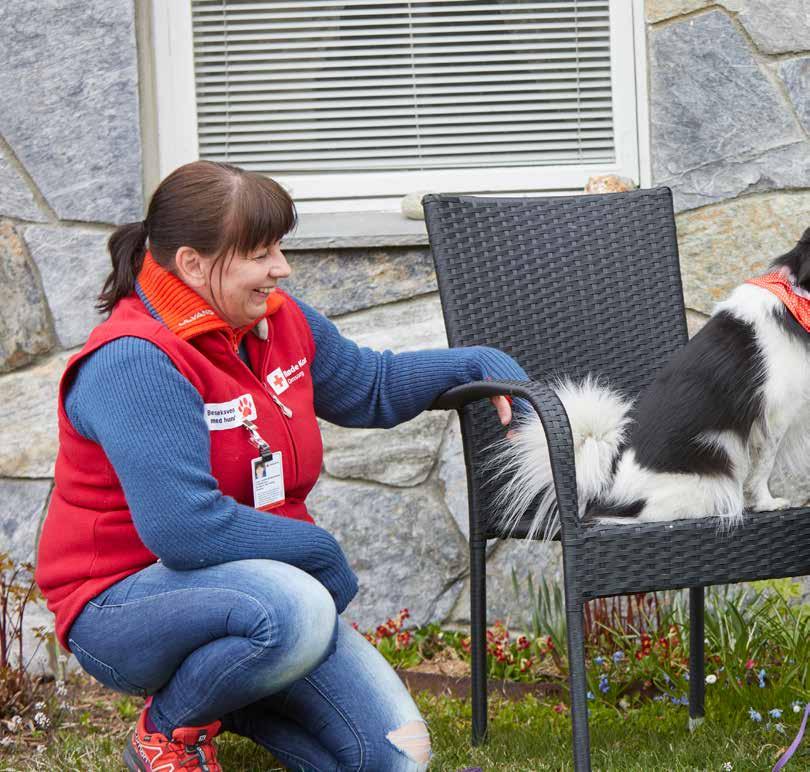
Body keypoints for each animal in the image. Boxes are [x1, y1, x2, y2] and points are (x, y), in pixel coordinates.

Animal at [490, 228, 808, 536]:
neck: (798, 299)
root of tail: (602, 493)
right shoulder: (775, 415)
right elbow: (763, 467)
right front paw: (768, 503)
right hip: (705, 487)